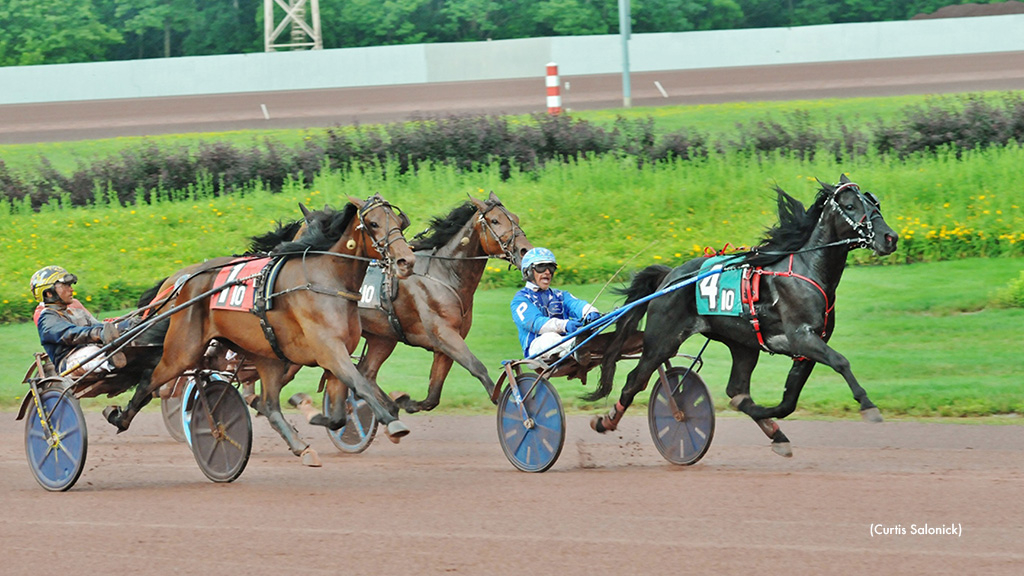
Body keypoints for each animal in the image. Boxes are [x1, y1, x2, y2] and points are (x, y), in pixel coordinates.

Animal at [105, 192, 413, 461]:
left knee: (270, 404)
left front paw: (311, 411)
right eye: (373, 223)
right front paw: (392, 422)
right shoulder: (329, 351)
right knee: (151, 379)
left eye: (399, 223)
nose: (406, 261)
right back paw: (120, 417)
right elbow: (359, 384)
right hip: (183, 350)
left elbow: (338, 415)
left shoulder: (333, 354)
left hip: (265, 355)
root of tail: (185, 281)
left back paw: (300, 446)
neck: (324, 279)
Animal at [593, 172, 897, 455]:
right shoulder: (802, 338)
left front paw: (769, 420)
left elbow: (788, 401)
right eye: (849, 205)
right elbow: (840, 362)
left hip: (743, 345)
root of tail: (670, 277)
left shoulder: (808, 347)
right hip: (662, 340)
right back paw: (606, 421)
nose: (890, 238)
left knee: (735, 389)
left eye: (874, 203)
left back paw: (774, 432)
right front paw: (868, 405)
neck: (807, 269)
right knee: (634, 380)